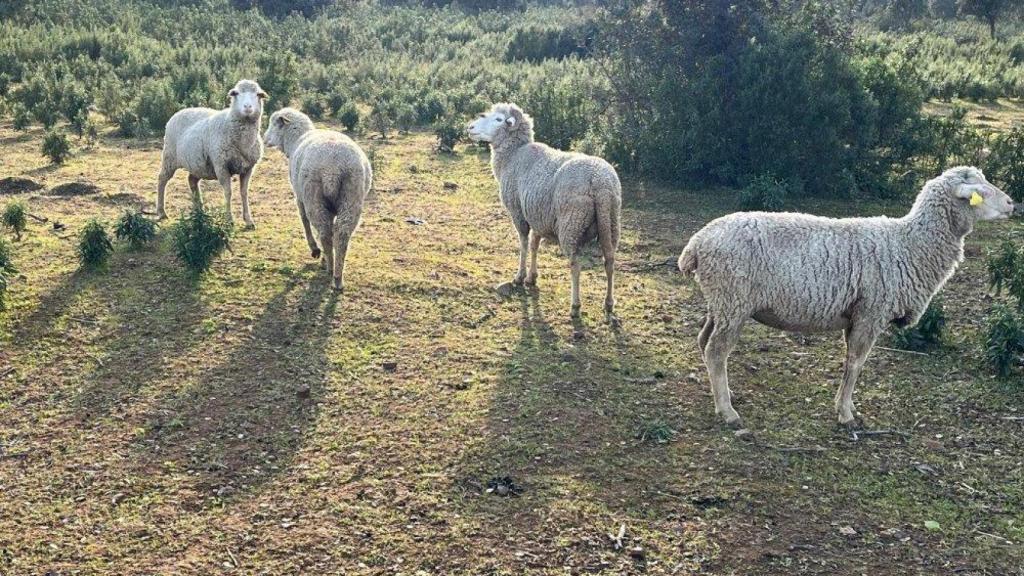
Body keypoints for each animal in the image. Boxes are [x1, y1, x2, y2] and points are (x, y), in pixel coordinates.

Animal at [155, 79, 268, 227]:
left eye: (258, 94)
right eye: (236, 93)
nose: (248, 107)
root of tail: (179, 112)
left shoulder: (248, 168)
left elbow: (244, 192)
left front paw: (248, 220)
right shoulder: (221, 166)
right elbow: (228, 192)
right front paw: (229, 219)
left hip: (197, 164)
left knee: (191, 180)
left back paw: (199, 212)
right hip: (169, 156)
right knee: (162, 179)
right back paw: (161, 211)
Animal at [264, 105, 372, 289]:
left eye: (273, 124)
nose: (264, 139)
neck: (296, 140)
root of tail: (333, 167)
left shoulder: (300, 197)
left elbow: (304, 220)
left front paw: (315, 250)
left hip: (314, 197)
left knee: (324, 232)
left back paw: (329, 266)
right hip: (352, 195)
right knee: (341, 233)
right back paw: (337, 276)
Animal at [466, 101, 622, 317]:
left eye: (498, 119)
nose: (470, 127)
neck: (513, 155)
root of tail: (600, 182)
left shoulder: (519, 213)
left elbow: (524, 244)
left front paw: (520, 276)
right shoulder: (537, 214)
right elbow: (534, 245)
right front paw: (532, 277)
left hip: (571, 224)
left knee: (575, 265)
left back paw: (575, 305)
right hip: (611, 222)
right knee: (610, 262)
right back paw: (608, 302)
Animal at [679, 166, 1015, 426]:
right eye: (980, 190)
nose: (1013, 204)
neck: (910, 244)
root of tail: (697, 243)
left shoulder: (855, 314)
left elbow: (851, 362)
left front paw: (847, 405)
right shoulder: (871, 312)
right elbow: (855, 362)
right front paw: (845, 413)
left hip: (720, 303)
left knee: (704, 342)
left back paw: (723, 394)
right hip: (733, 301)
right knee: (716, 350)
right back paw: (727, 411)